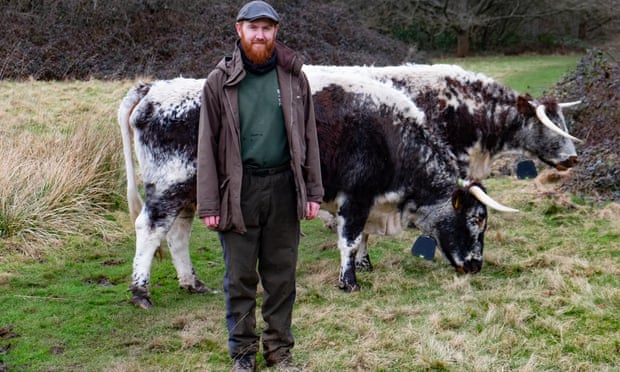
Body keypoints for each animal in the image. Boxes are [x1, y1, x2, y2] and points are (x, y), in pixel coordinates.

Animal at [117, 73, 520, 308]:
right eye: (476, 219)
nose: (476, 265)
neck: (391, 134)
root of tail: (155, 87)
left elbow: (360, 239)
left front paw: (364, 264)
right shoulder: (356, 197)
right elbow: (349, 239)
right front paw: (349, 280)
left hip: (191, 194)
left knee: (177, 236)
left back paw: (192, 282)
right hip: (170, 186)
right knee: (149, 230)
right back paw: (140, 291)